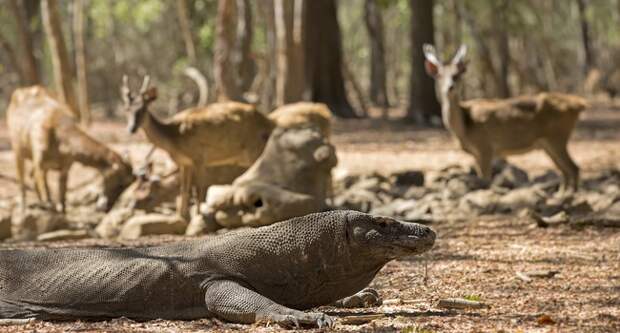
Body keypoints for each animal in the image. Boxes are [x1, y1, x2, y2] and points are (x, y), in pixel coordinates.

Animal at [6, 85, 135, 210]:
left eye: (127, 185)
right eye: (121, 182)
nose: (106, 207)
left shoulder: (65, 168)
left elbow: (62, 203)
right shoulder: (40, 163)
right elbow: (47, 196)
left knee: (31, 175)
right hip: (17, 149)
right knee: (22, 180)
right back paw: (24, 207)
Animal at [121, 76, 274, 219]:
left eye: (143, 109)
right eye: (127, 109)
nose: (132, 128)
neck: (173, 139)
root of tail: (270, 122)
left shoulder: (199, 157)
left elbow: (199, 188)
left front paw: (198, 215)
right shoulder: (185, 163)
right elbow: (185, 189)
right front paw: (181, 216)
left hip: (254, 150)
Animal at [422, 44, 588, 192]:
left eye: (456, 75)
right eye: (439, 76)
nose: (450, 88)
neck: (465, 127)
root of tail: (580, 104)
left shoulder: (485, 147)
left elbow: (486, 179)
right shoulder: (476, 153)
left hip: (557, 137)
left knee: (574, 168)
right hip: (548, 143)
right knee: (565, 170)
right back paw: (562, 193)